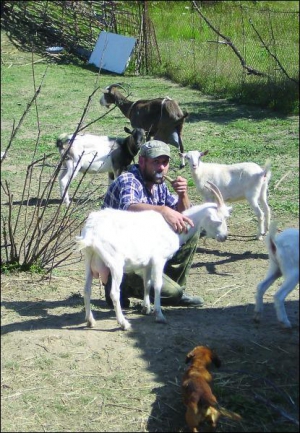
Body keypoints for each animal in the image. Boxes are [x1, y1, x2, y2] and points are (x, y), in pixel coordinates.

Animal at [75, 181, 232, 330]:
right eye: (219, 220)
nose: (224, 236)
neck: (171, 228)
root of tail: (91, 233)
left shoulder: (147, 264)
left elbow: (147, 283)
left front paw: (146, 308)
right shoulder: (159, 260)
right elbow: (157, 285)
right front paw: (159, 315)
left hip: (89, 261)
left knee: (86, 289)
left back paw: (90, 321)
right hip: (115, 264)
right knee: (114, 292)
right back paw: (123, 323)